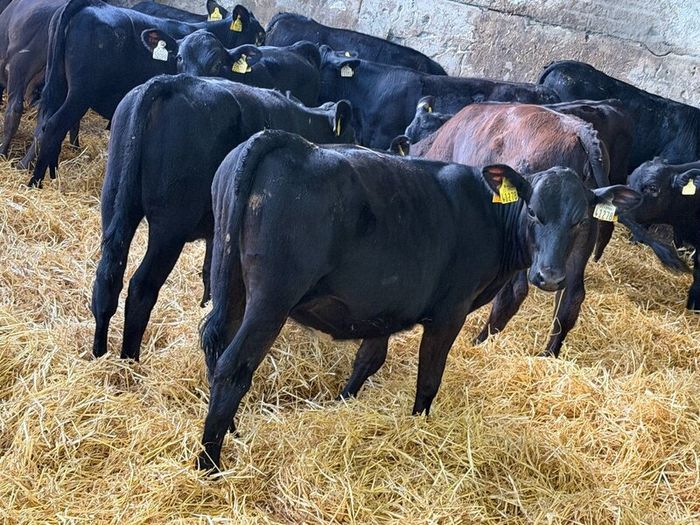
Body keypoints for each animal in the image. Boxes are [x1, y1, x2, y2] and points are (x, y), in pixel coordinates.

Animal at [25, 0, 265, 186]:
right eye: (260, 35)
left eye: (216, 64)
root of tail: (93, 5)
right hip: (80, 92)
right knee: (54, 125)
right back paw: (35, 182)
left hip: (59, 83)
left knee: (44, 122)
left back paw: (41, 171)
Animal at [90, 75, 355, 361]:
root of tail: (171, 81)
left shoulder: (218, 229)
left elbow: (210, 271)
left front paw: (205, 303)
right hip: (169, 229)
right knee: (141, 287)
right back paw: (130, 359)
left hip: (115, 200)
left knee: (107, 276)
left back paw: (99, 353)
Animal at [196, 128, 641, 470]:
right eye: (533, 212)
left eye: (580, 220)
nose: (548, 276)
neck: (490, 215)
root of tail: (289, 141)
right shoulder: (449, 313)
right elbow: (429, 377)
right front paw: (419, 427)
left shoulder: (385, 304)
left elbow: (369, 359)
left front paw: (342, 402)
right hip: (271, 301)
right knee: (234, 367)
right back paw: (209, 464)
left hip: (229, 280)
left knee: (215, 345)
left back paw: (231, 431)